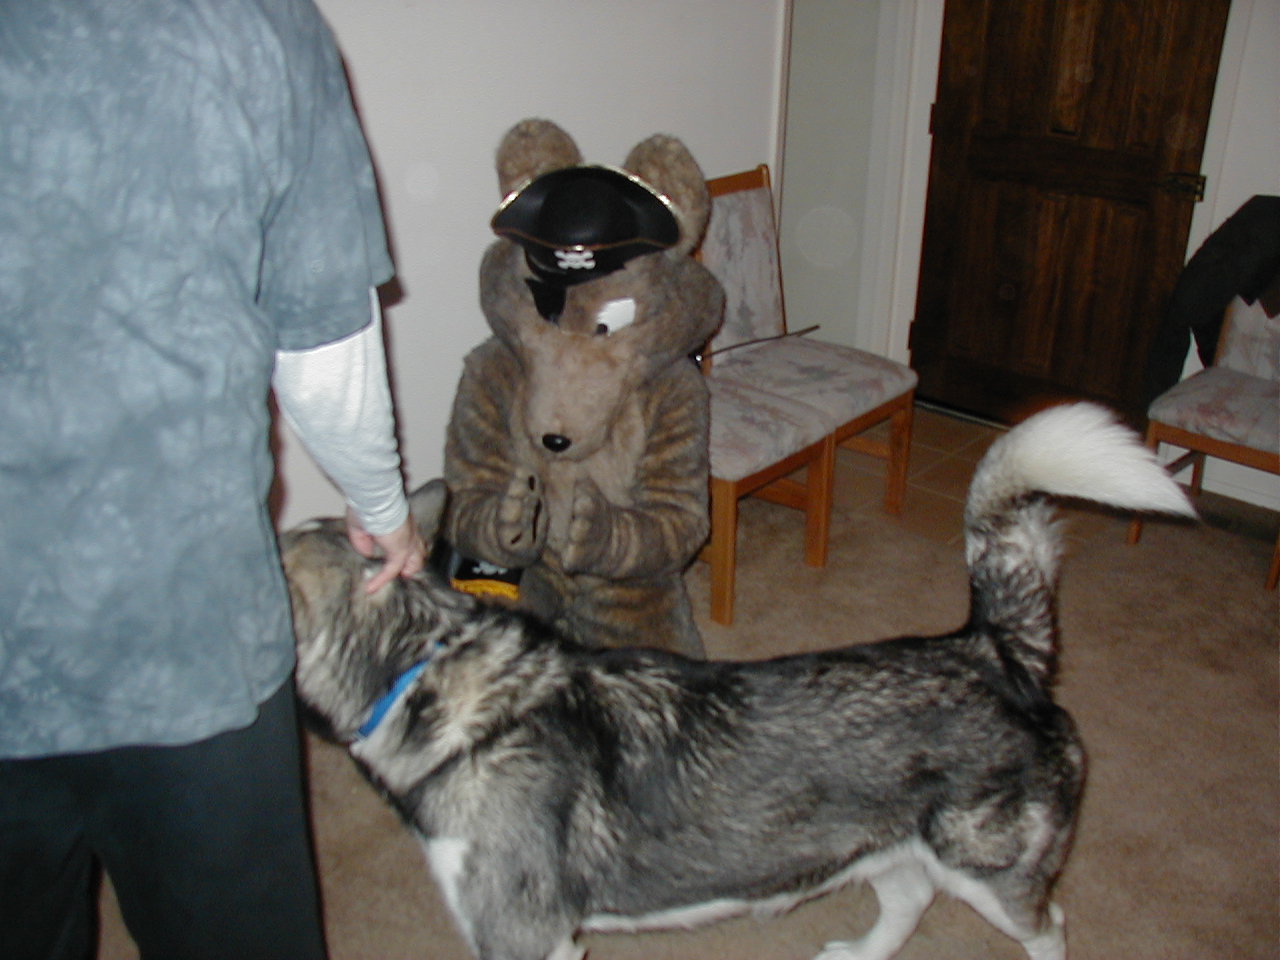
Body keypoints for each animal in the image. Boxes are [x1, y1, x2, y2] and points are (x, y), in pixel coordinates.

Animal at [281, 403, 1193, 960]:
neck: (426, 671)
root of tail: (990, 648)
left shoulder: (525, 935)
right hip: (892, 846)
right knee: (906, 904)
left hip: (992, 874)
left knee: (1049, 927)